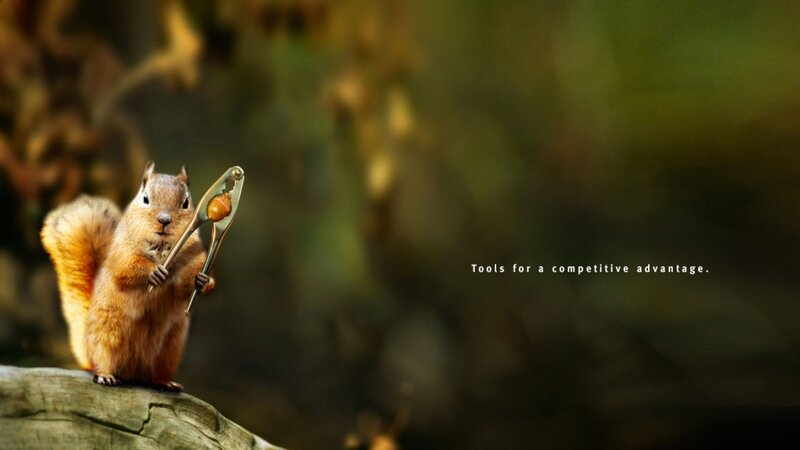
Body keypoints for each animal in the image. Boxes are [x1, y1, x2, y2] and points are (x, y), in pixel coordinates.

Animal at [40, 161, 214, 392]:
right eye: (145, 198)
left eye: (186, 203)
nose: (164, 220)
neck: (162, 249)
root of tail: (133, 371)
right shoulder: (121, 252)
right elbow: (126, 269)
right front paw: (153, 272)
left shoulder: (196, 256)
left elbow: (187, 281)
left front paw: (204, 282)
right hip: (107, 335)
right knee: (103, 360)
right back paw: (105, 375)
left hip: (169, 349)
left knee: (155, 374)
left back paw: (165, 382)